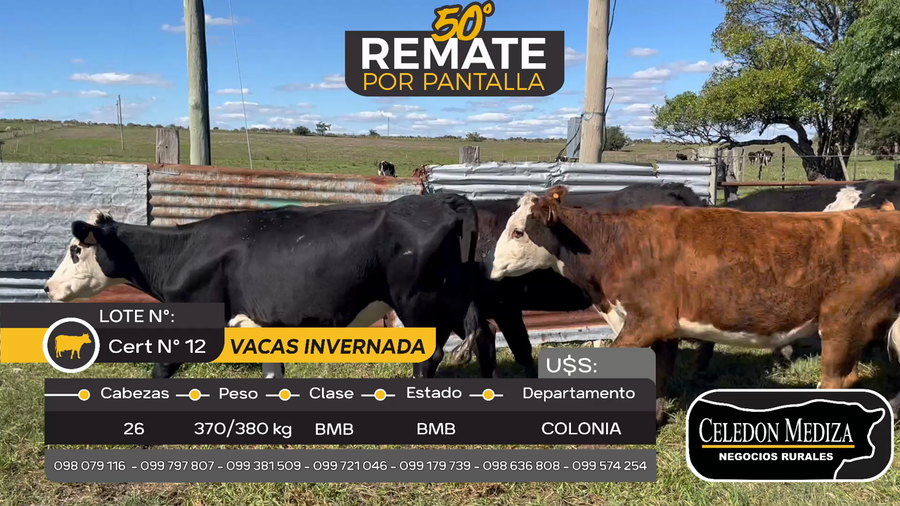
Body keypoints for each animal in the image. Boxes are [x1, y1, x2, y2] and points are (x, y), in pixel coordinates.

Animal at [44, 194, 483, 380]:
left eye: (75, 250)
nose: (47, 287)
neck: (185, 250)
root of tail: (442, 200)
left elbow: (162, 368)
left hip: (418, 303)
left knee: (429, 357)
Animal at [487, 185, 900, 425]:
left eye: (519, 231)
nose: (491, 268)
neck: (618, 245)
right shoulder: (665, 329)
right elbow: (657, 374)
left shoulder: (646, 321)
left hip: (842, 323)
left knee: (836, 379)